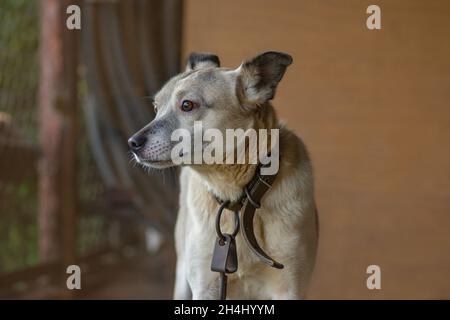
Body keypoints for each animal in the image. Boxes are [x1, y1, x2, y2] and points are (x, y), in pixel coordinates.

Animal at [129, 51, 320, 298]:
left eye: (187, 105)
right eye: (155, 108)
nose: (132, 143)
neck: (236, 197)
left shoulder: (289, 287)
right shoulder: (205, 286)